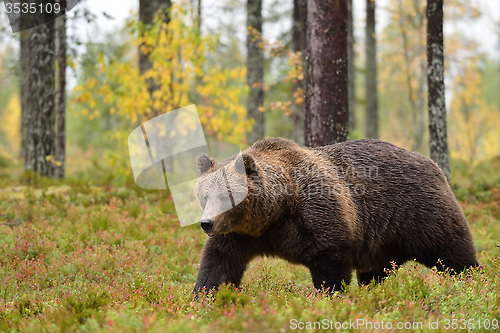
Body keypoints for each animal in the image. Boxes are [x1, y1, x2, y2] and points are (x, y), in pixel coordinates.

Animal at [191, 137, 476, 294]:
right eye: (204, 196)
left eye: (225, 196)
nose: (206, 223)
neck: (274, 214)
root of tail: (431, 163)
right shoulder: (239, 234)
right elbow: (219, 264)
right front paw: (204, 298)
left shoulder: (316, 213)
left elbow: (329, 260)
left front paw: (330, 297)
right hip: (381, 243)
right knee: (374, 273)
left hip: (417, 210)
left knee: (450, 250)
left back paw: (473, 280)